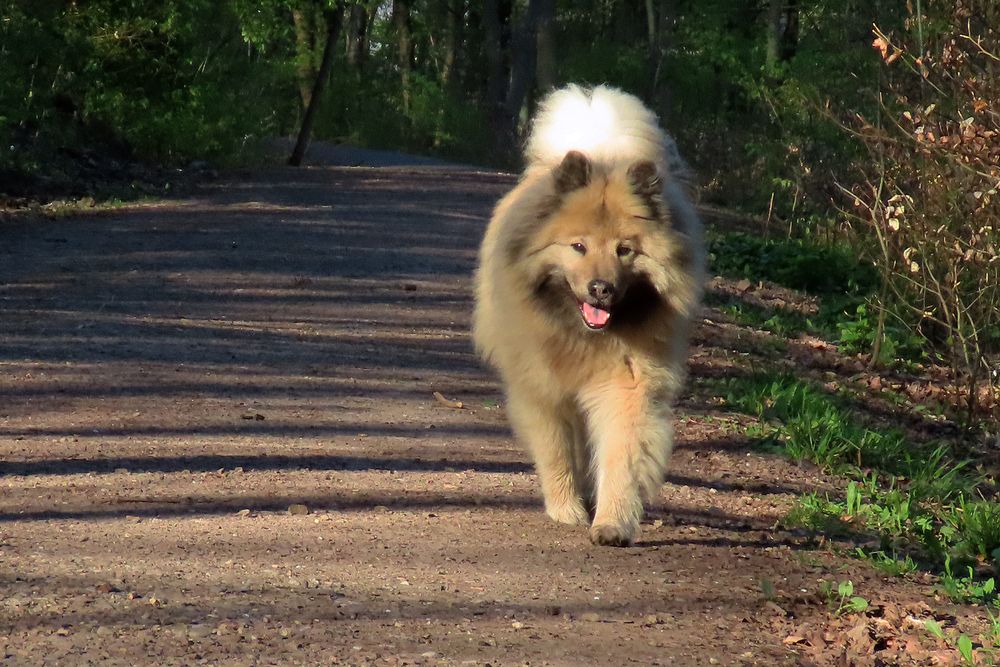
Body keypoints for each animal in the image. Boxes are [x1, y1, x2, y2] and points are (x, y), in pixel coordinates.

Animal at [474, 86, 704, 548]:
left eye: (624, 250)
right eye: (578, 246)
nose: (601, 288)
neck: (582, 335)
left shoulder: (627, 383)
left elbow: (622, 453)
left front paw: (612, 522)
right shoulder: (542, 387)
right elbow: (557, 451)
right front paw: (567, 508)